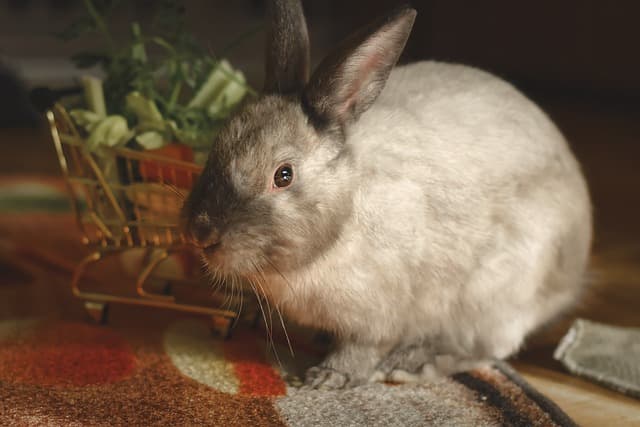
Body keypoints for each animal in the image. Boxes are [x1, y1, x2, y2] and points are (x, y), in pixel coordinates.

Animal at [182, 0, 592, 389]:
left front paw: (327, 378)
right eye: (218, 143)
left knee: (490, 348)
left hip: (495, 295)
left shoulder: (377, 316)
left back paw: (411, 363)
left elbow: (361, 349)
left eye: (283, 175)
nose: (200, 234)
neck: (344, 219)